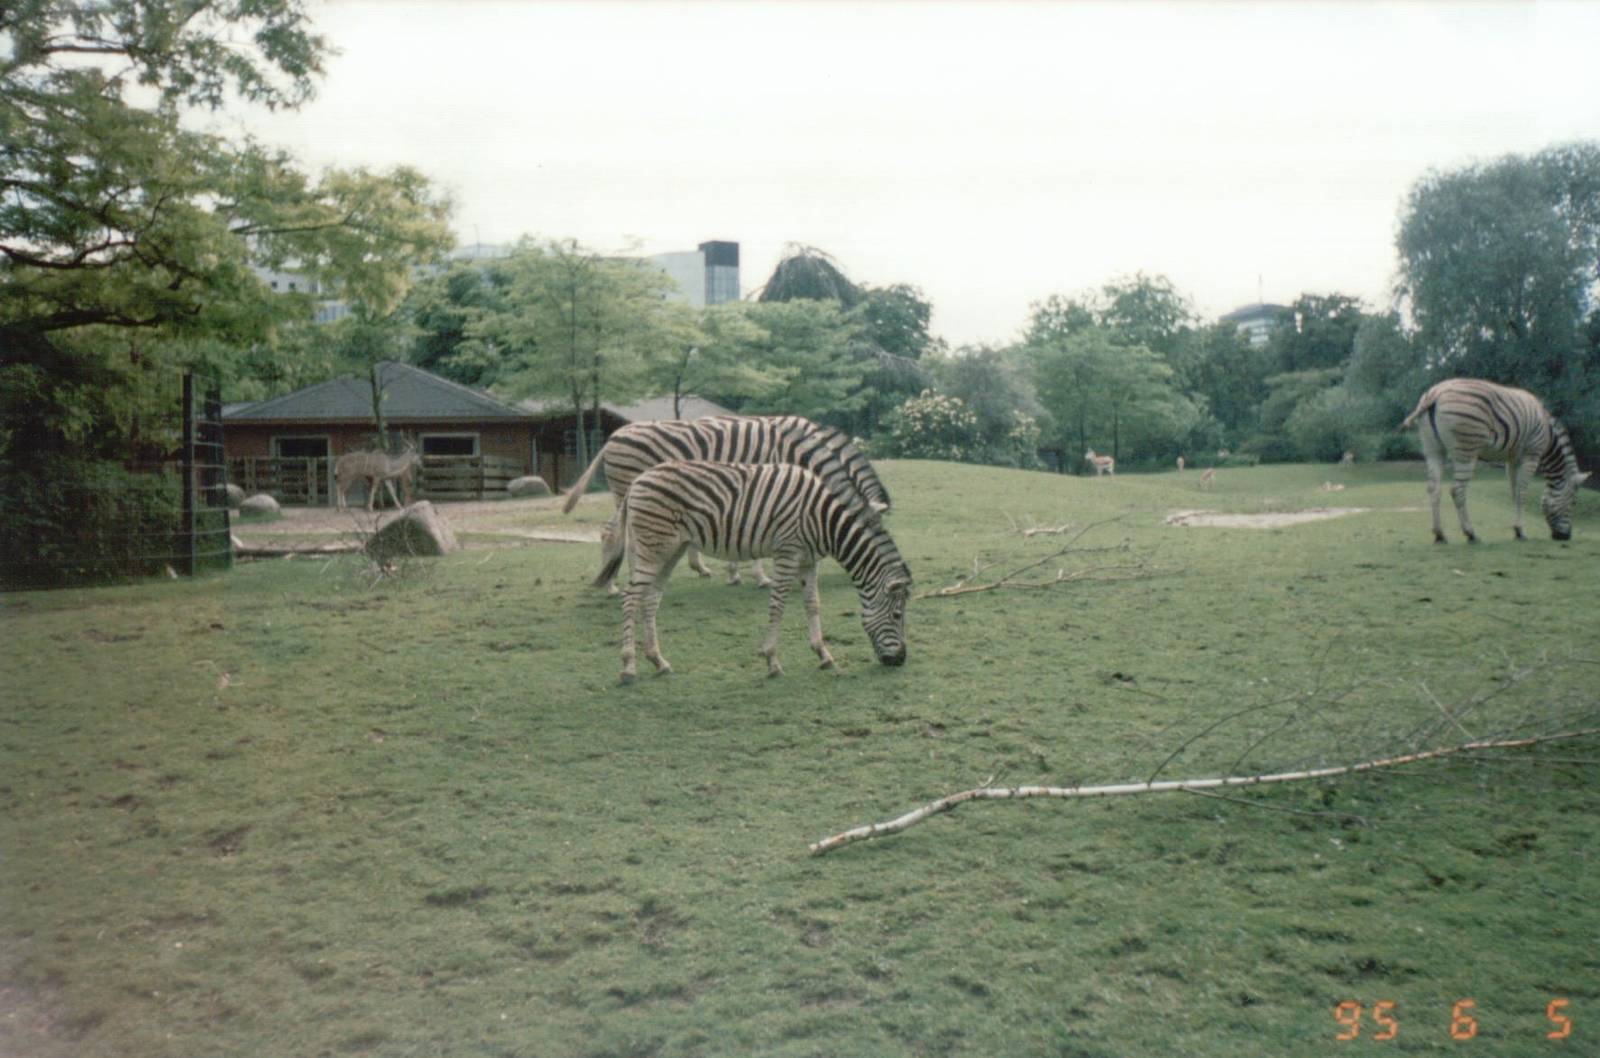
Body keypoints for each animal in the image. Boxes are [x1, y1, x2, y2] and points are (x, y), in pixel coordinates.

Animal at [562, 415, 891, 592]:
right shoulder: (768, 482)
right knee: (619, 535)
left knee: (612, 532)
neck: (800, 450)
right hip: (628, 489)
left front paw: (734, 574)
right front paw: (761, 577)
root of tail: (613, 437)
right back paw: (618, 584)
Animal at [595, 460, 911, 684]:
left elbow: (812, 604)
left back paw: (658, 661)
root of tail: (637, 481)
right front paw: (771, 660)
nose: (900, 661)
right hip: (653, 547)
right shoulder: (787, 552)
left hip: (670, 550)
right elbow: (778, 604)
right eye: (897, 615)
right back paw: (628, 667)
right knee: (630, 598)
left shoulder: (809, 560)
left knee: (650, 600)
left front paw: (823, 654)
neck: (824, 519)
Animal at [1400, 378, 1589, 542]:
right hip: (1466, 451)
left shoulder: (1512, 459)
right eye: (1574, 502)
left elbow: (1514, 491)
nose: (1565, 537)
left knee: (1434, 488)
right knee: (1457, 490)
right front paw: (1521, 531)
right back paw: (1470, 533)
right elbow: (1522, 491)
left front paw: (1516, 530)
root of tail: (1436, 392)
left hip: (1433, 450)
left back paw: (1440, 535)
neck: (1549, 436)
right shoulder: (1531, 455)